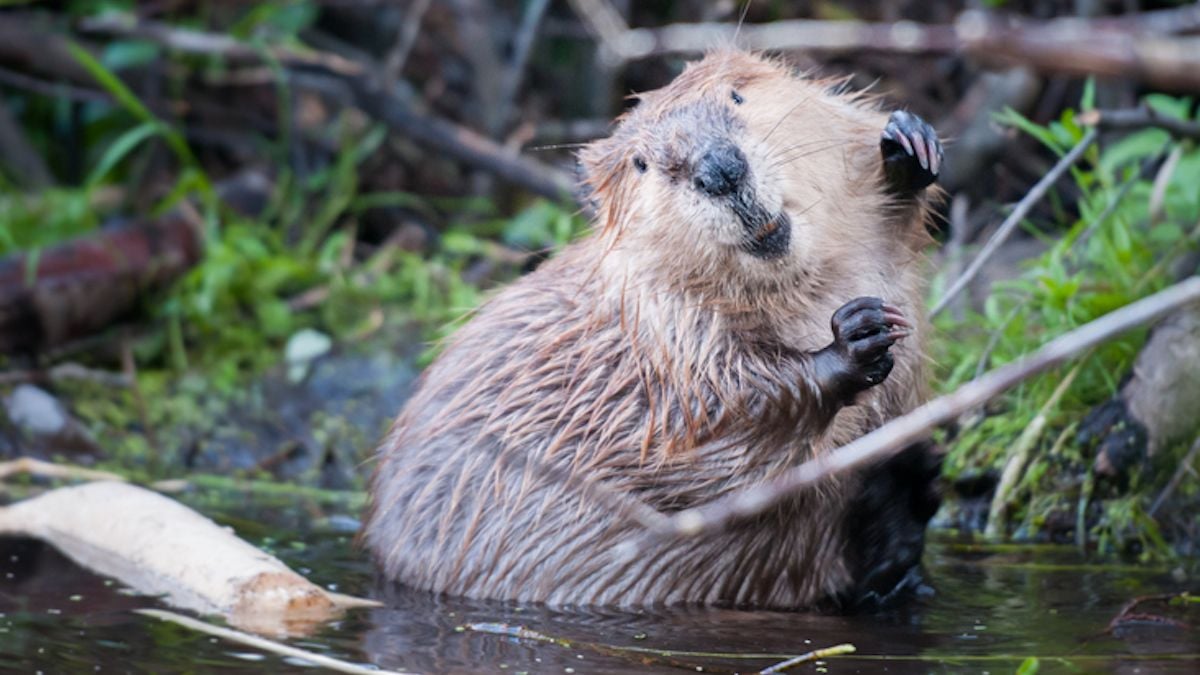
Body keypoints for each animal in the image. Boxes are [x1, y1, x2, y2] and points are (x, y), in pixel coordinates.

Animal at [360, 51, 940, 610]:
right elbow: (716, 437)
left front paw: (907, 146)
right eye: (641, 163)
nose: (720, 169)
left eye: (737, 95)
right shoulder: (662, 336)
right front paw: (855, 338)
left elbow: (892, 228)